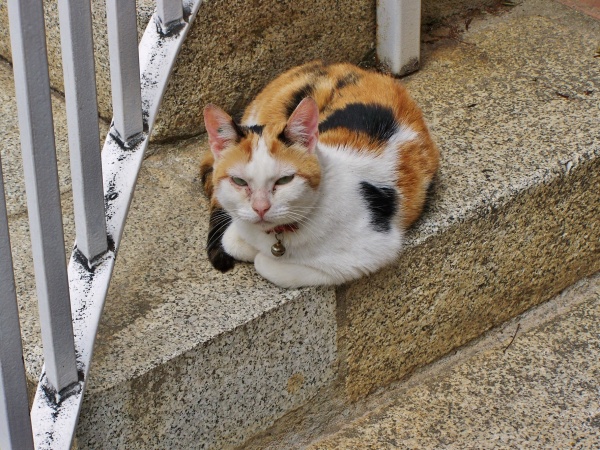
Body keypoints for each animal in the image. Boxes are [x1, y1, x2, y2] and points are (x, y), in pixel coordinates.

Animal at [199, 60, 438, 288]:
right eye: (239, 181)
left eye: (285, 180)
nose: (260, 208)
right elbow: (231, 240)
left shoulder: (369, 252)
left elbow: (265, 263)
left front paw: (263, 255)